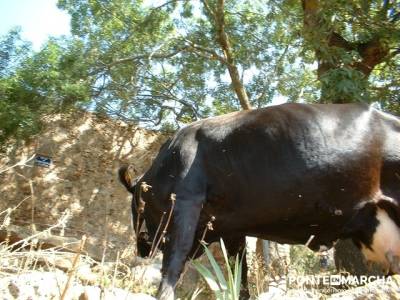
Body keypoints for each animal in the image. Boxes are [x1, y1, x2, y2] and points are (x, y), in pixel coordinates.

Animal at [120, 102, 400, 298]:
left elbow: (173, 263)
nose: (141, 247)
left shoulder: (185, 201)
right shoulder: (231, 229)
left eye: (137, 210)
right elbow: (238, 275)